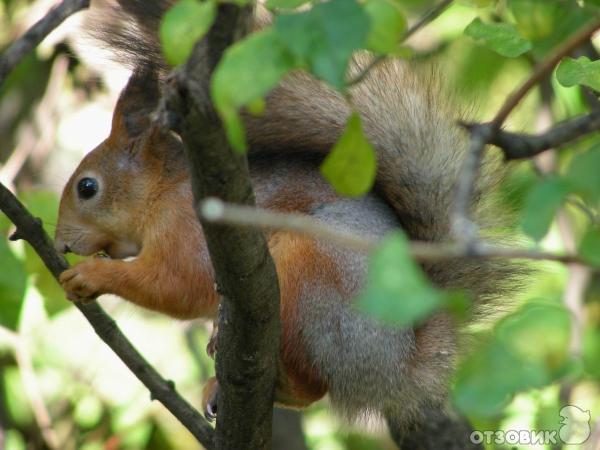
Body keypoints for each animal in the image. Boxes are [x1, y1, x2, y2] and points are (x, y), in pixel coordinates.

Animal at [55, 0, 516, 446]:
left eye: (87, 187)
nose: (60, 245)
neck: (164, 189)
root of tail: (398, 369)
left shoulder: (190, 231)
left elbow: (176, 285)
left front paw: (90, 275)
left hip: (309, 279)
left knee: (313, 384)